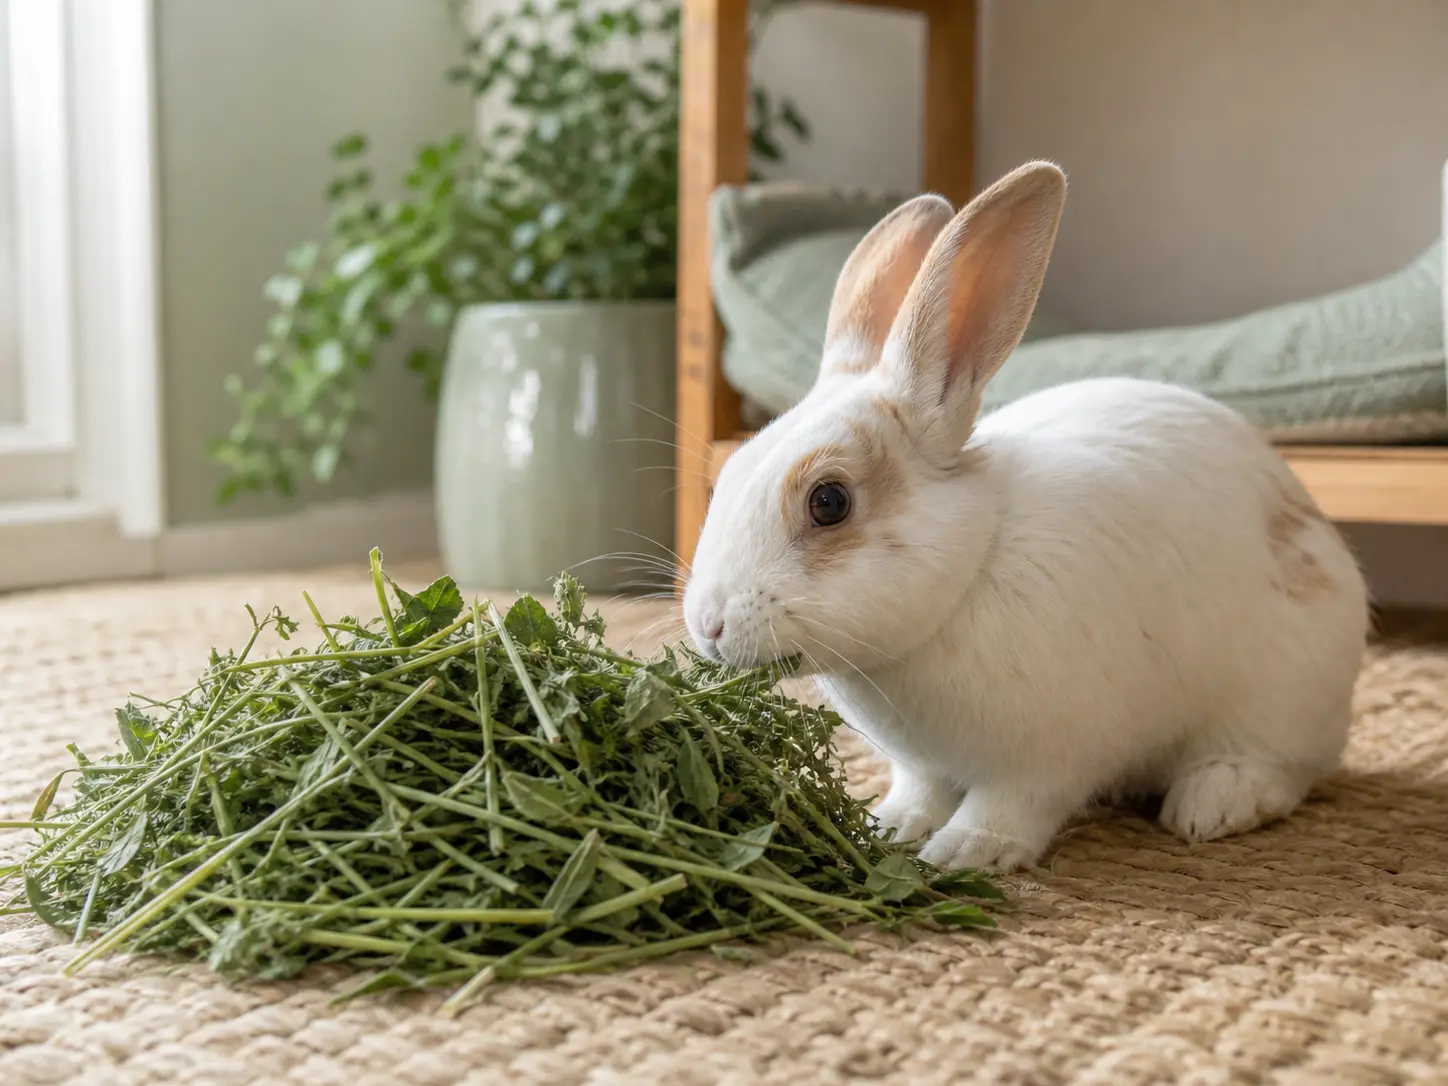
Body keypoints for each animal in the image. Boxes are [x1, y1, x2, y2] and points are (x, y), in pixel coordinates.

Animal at [682, 160, 1370, 873]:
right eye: (731, 474)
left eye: (829, 502)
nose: (708, 624)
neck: (970, 569)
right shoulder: (922, 766)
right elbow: (920, 792)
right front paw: (890, 828)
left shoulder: (1050, 759)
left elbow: (1011, 808)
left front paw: (964, 853)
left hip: (1281, 699)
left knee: (1283, 767)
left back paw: (1213, 805)